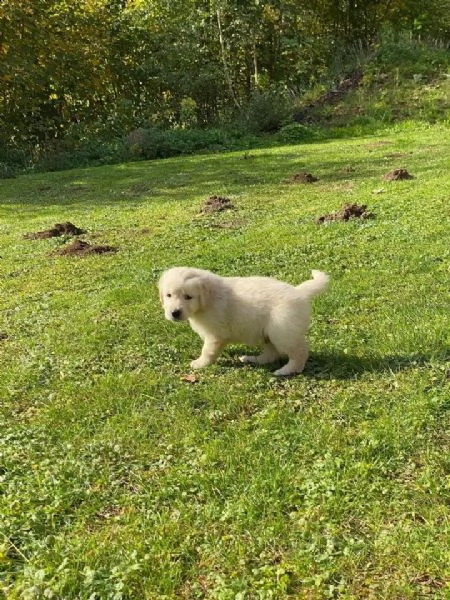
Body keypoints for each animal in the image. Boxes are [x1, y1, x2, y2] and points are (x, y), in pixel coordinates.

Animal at [160, 268, 328, 376]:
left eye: (188, 297)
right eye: (168, 295)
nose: (174, 313)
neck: (207, 300)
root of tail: (299, 292)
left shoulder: (216, 334)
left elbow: (207, 350)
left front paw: (200, 363)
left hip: (283, 332)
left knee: (299, 353)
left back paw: (285, 371)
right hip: (268, 333)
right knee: (271, 354)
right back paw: (251, 359)